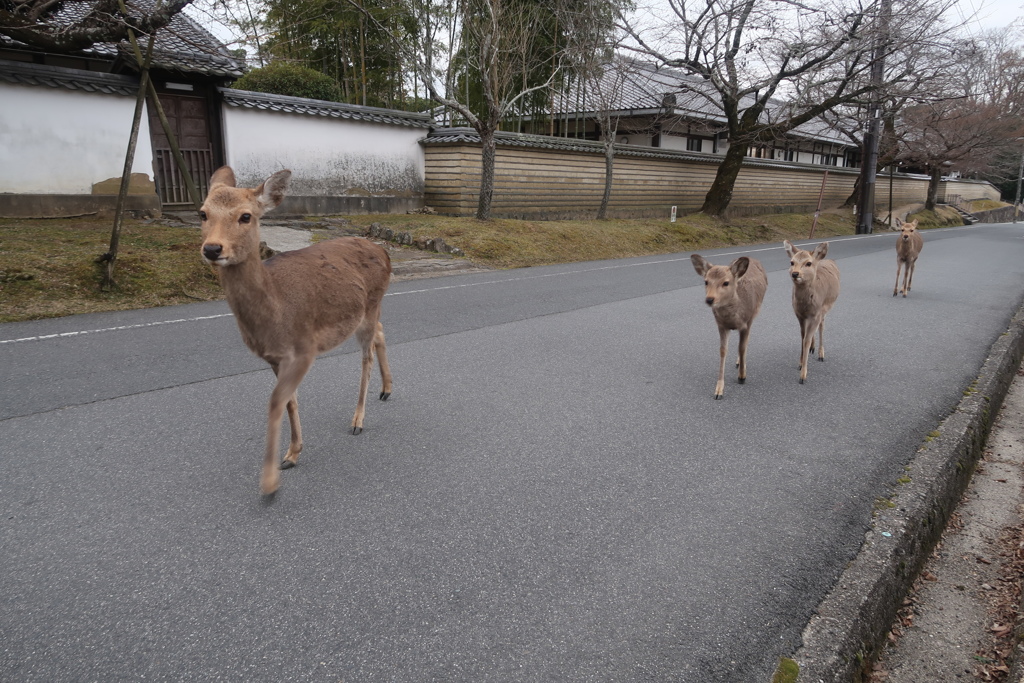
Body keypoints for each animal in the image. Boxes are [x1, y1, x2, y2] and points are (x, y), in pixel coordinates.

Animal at [200, 166, 393, 496]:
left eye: (246, 216)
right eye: (202, 213)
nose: (212, 248)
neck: (275, 314)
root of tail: (385, 253)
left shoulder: (304, 348)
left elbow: (276, 401)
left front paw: (271, 478)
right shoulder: (274, 357)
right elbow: (289, 400)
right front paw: (292, 454)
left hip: (371, 303)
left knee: (366, 355)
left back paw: (358, 420)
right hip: (367, 312)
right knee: (381, 332)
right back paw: (387, 389)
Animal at [690, 254, 768, 399]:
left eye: (726, 282)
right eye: (706, 281)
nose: (709, 299)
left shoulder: (746, 322)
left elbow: (742, 347)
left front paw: (742, 376)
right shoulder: (721, 325)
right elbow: (722, 351)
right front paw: (718, 390)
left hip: (754, 313)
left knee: (746, 342)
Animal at [783, 240, 841, 384]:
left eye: (808, 263)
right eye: (791, 262)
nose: (795, 273)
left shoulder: (816, 313)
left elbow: (806, 340)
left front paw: (803, 376)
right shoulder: (799, 315)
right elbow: (803, 338)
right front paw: (800, 363)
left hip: (825, 308)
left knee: (822, 326)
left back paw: (821, 354)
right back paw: (813, 349)